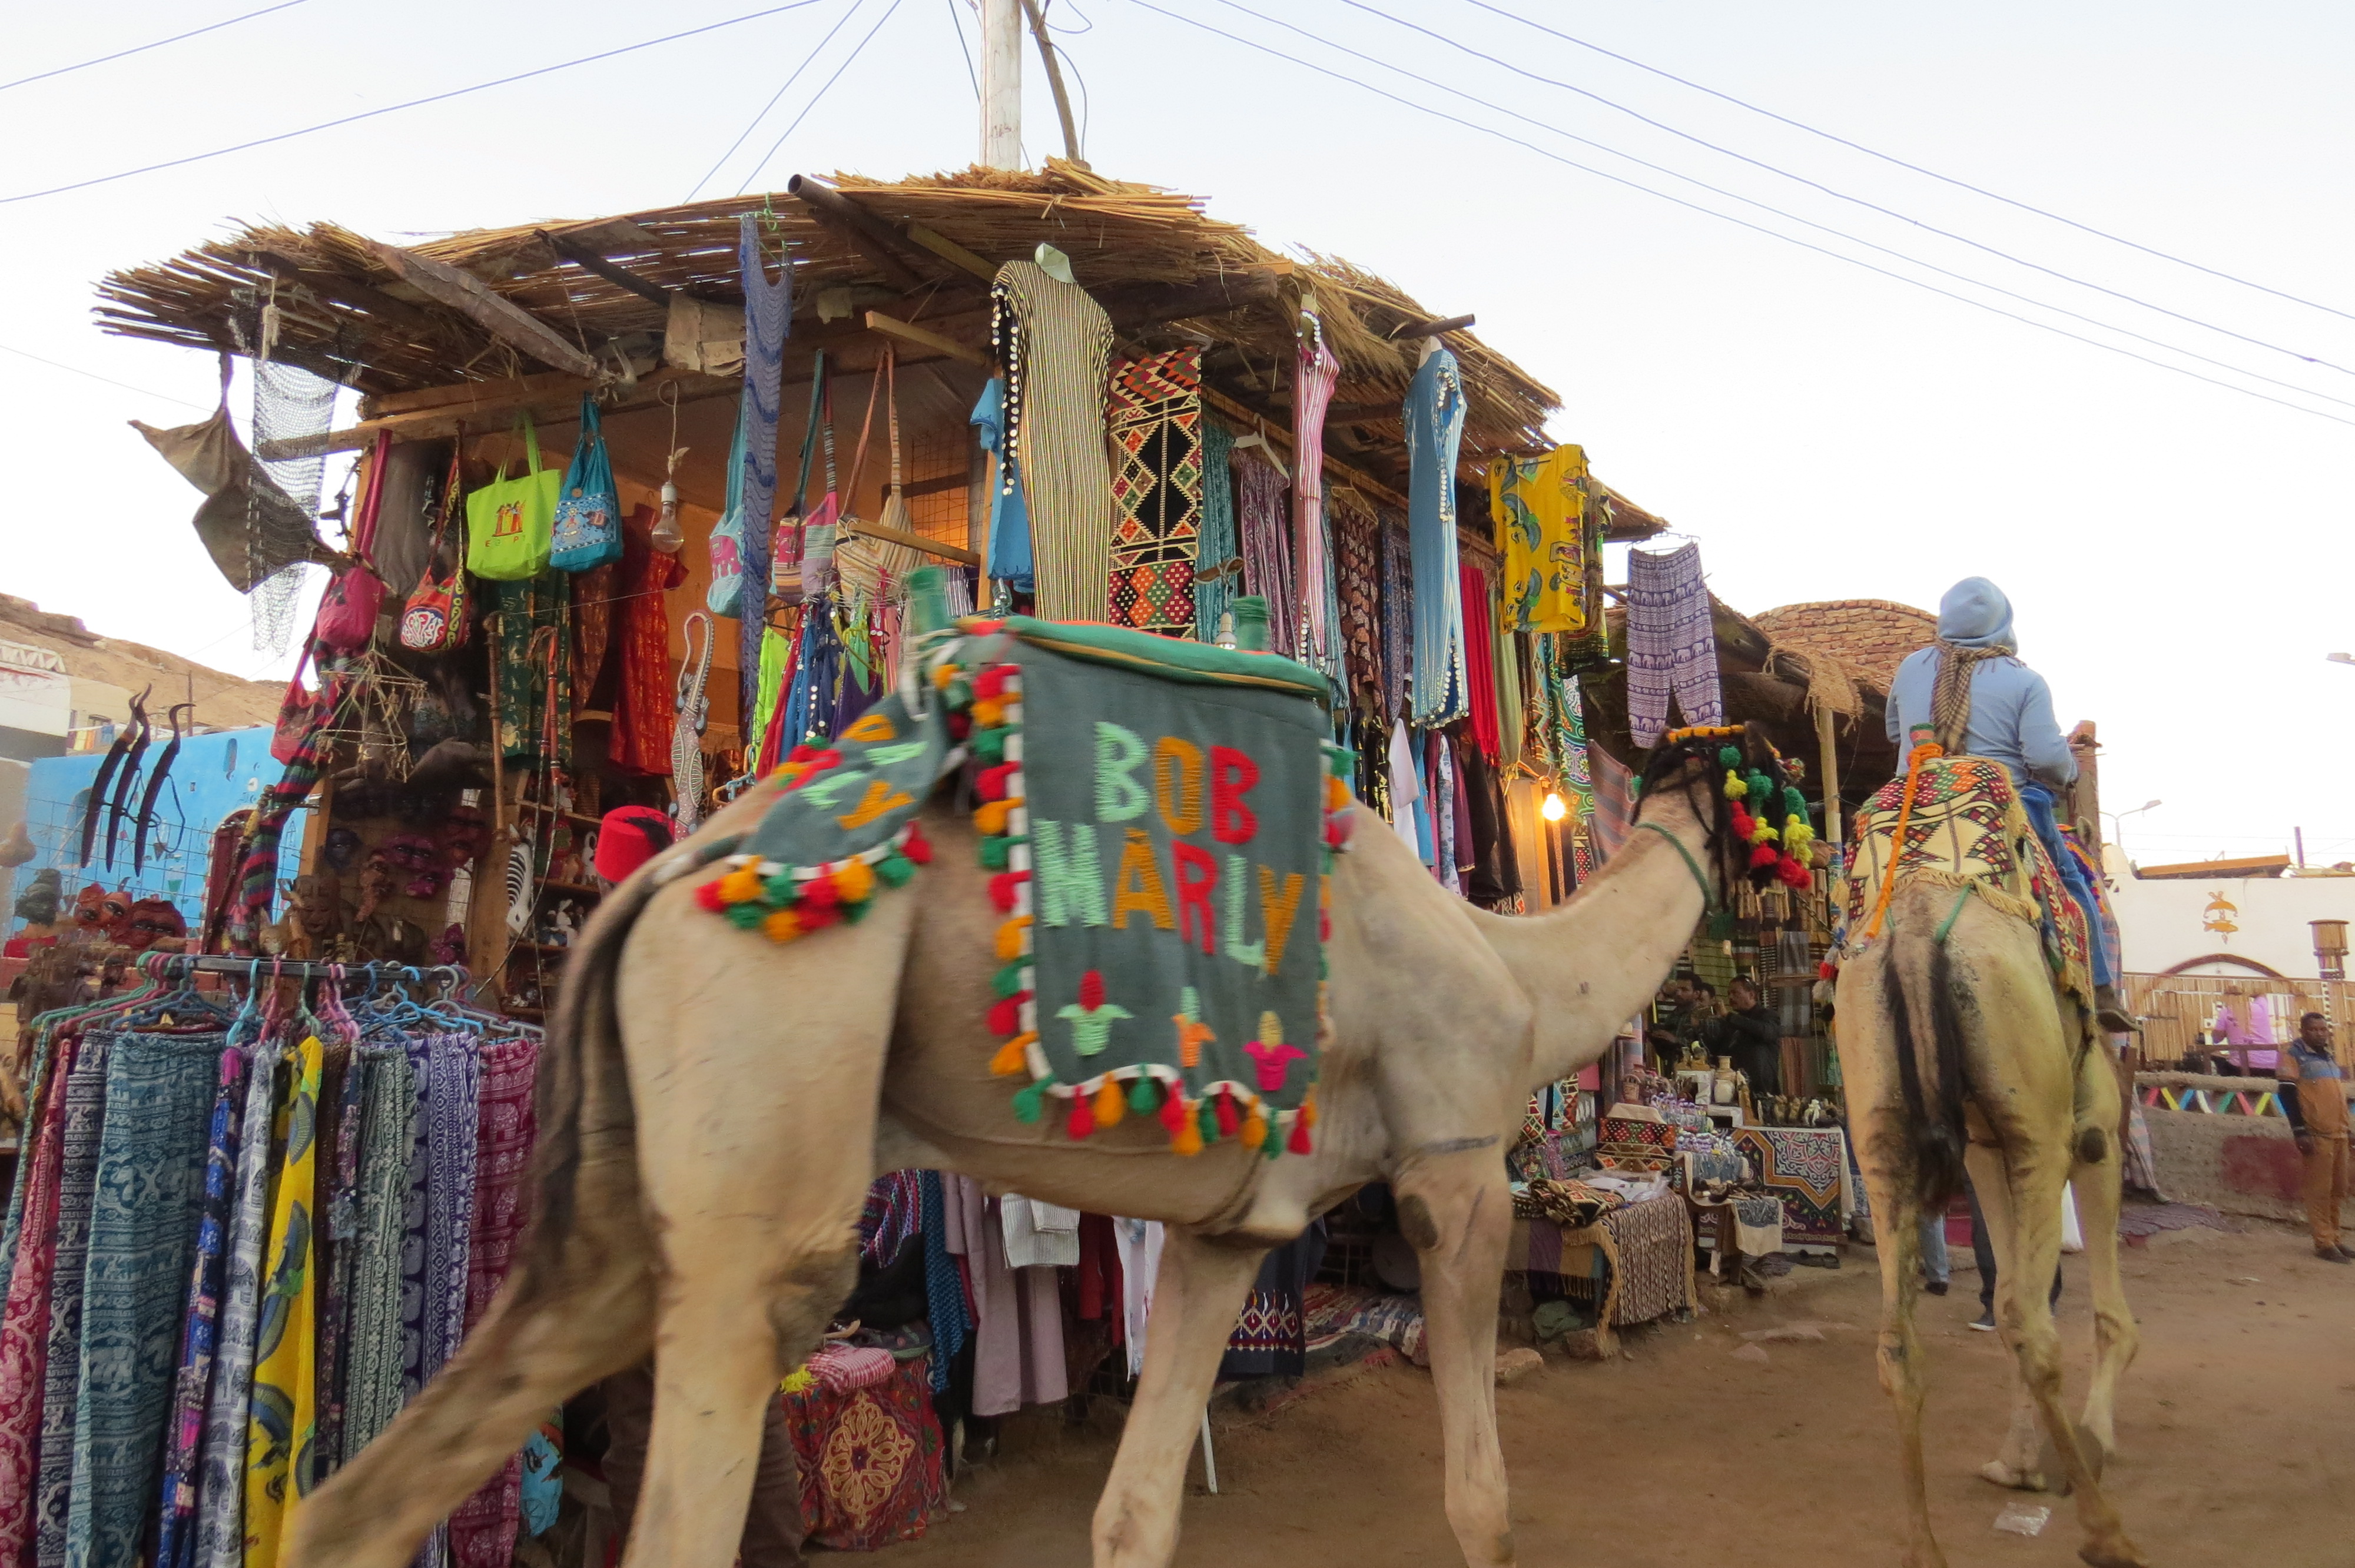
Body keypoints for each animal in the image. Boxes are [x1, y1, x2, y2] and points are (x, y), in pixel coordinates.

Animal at [282, 724, 1780, 1568]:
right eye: (1770, 784)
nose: (1807, 873)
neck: (1520, 973)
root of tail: (644, 889)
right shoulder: (1456, 1167)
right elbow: (1482, 1508)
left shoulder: (1226, 1233)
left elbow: (1133, 1515)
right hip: (772, 1065)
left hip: (611, 1198)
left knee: (372, 1489)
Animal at [1838, 867, 2146, 1568]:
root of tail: (1916, 937)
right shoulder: (2092, 1129)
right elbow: (2103, 1317)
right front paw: (2092, 1441)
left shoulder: (1983, 1148)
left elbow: (2003, 1289)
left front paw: (2018, 1464)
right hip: (2039, 1127)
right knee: (2031, 1326)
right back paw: (2107, 1533)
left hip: (1879, 1129)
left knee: (1899, 1343)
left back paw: (1924, 1548)